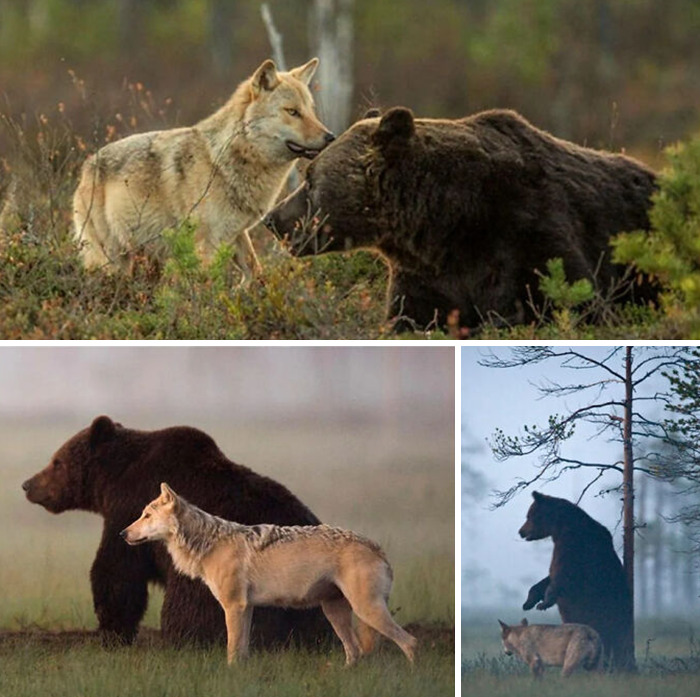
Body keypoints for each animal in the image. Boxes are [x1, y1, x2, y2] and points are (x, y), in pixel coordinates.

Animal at [21, 415, 330, 648]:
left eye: (57, 462)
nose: (28, 484)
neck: (113, 479)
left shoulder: (128, 508)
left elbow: (117, 571)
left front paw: (112, 631)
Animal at [73, 58, 334, 280]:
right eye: (292, 112)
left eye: (311, 111)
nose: (330, 137)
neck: (223, 161)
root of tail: (86, 167)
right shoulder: (205, 245)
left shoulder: (237, 233)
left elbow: (255, 271)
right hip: (110, 259)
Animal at [121, 483, 417, 666]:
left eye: (146, 516)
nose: (122, 533)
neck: (209, 543)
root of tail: (377, 547)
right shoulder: (246, 608)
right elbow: (242, 651)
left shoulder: (234, 607)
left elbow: (232, 650)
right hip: (336, 613)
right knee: (355, 652)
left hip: (366, 611)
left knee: (410, 642)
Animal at [264, 107, 657, 333]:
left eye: (310, 178)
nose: (272, 218)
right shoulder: (427, 275)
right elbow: (410, 318)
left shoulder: (529, 231)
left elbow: (573, 303)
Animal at [519, 491, 635, 671]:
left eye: (529, 515)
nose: (521, 531)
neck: (561, 527)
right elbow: (548, 577)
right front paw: (529, 601)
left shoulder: (574, 546)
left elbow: (562, 575)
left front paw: (544, 602)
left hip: (606, 615)